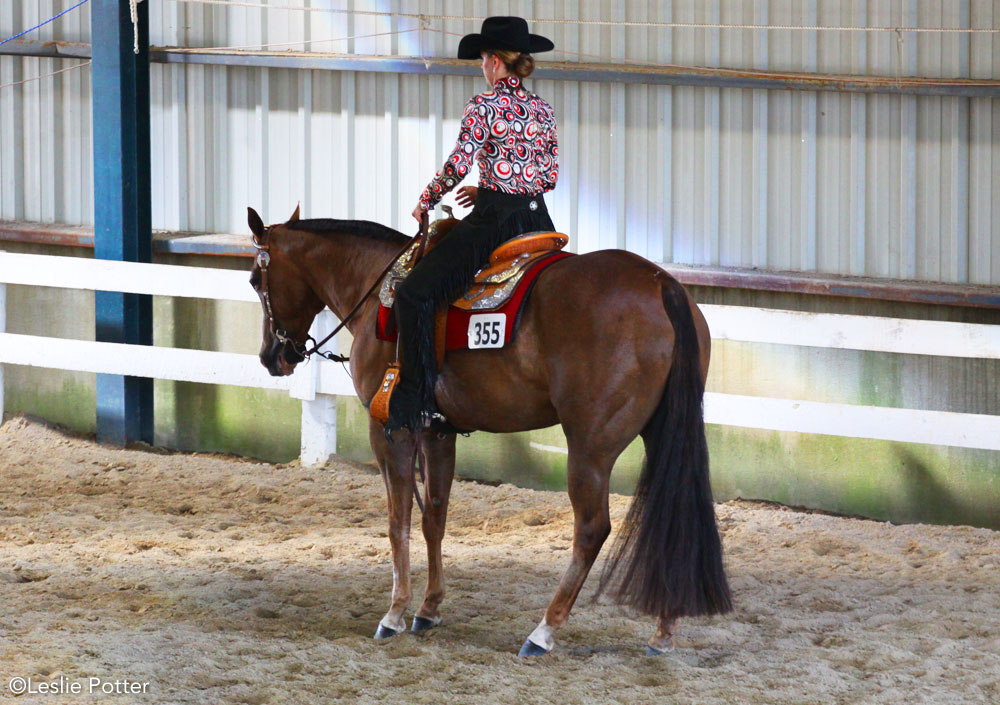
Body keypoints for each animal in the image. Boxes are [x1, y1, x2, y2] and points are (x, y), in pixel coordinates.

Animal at [248, 204, 736, 656]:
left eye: (255, 279)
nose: (272, 355)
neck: (378, 291)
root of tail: (660, 283)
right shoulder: (437, 432)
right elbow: (434, 518)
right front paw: (428, 609)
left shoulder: (389, 429)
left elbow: (397, 521)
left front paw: (394, 614)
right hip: (661, 433)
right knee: (673, 517)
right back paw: (663, 631)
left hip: (590, 446)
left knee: (591, 529)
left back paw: (544, 631)